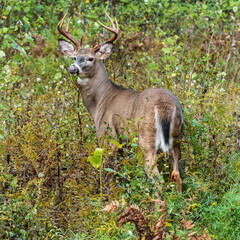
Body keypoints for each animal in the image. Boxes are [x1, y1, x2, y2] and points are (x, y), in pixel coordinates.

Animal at [57, 12, 184, 191]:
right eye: (75, 57)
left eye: (90, 58)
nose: (73, 68)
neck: (100, 101)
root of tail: (164, 106)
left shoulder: (108, 135)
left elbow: (109, 172)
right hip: (176, 138)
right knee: (177, 176)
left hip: (146, 141)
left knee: (158, 181)